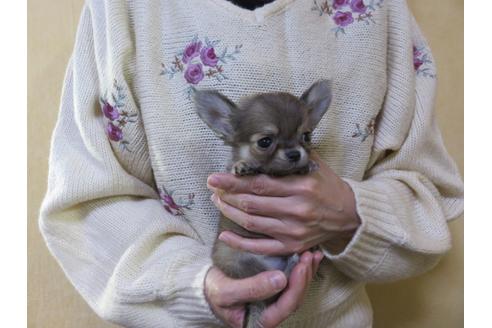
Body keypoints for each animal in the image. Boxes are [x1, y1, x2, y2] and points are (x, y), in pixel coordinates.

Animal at [192, 80, 330, 328]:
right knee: (278, 286)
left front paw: (307, 166)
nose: (295, 154)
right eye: (265, 141)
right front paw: (244, 166)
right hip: (239, 261)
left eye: (306, 136)